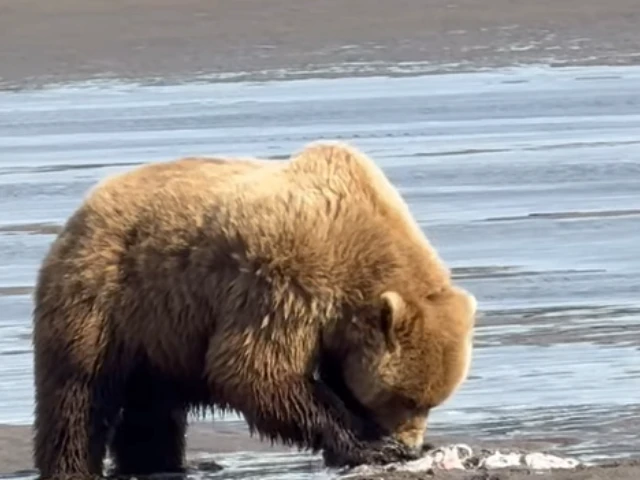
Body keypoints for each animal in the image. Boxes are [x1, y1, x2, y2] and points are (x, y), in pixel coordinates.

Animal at [32, 140, 476, 480]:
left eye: (431, 401)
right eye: (406, 398)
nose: (410, 443)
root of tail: (83, 210)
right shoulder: (283, 283)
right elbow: (253, 370)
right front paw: (371, 445)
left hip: (160, 334)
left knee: (152, 411)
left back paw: (158, 464)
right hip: (106, 298)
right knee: (78, 396)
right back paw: (73, 465)